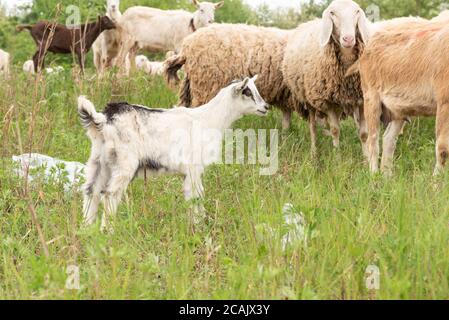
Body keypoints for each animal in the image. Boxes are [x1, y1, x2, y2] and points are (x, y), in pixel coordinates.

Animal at [78, 75, 266, 230]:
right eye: (247, 92)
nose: (265, 107)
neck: (208, 119)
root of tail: (104, 119)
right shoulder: (193, 168)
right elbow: (197, 196)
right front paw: (199, 225)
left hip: (99, 161)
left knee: (91, 191)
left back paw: (87, 230)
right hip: (124, 163)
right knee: (109, 195)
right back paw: (107, 231)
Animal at [164, 23, 298, 130]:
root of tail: (186, 47)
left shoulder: (286, 95)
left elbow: (286, 117)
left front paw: (285, 133)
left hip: (190, 86)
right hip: (206, 87)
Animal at [356, 15, 449, 175]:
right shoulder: (444, 101)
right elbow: (443, 148)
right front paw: (437, 180)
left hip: (398, 110)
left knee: (388, 140)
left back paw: (386, 176)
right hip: (370, 97)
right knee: (372, 140)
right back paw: (374, 175)